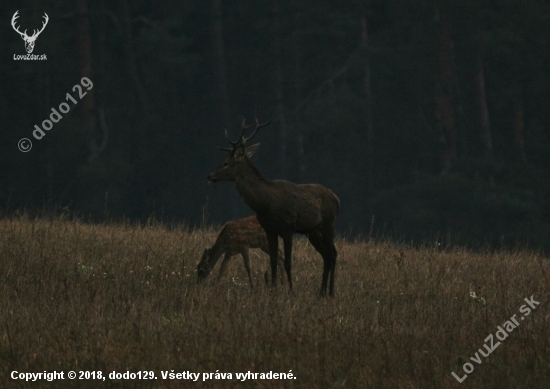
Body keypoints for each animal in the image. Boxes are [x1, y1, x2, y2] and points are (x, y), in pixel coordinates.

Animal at [209, 116, 340, 296]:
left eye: (226, 162)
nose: (210, 176)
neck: (265, 203)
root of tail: (337, 199)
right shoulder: (270, 229)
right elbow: (272, 261)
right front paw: (274, 290)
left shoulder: (287, 228)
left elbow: (287, 262)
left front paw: (291, 291)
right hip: (312, 231)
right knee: (326, 255)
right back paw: (321, 293)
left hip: (328, 224)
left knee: (333, 254)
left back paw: (331, 293)